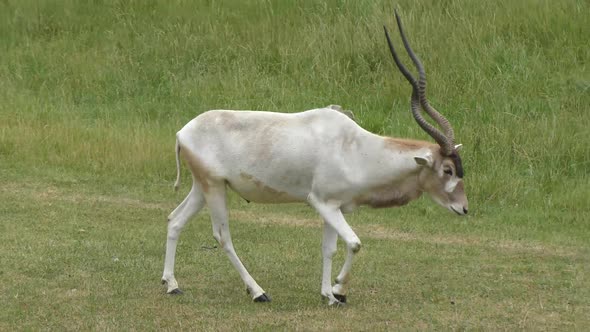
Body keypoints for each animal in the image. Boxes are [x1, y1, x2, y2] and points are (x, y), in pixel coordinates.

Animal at [161, 11, 468, 306]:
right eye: (448, 170)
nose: (464, 208)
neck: (356, 148)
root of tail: (182, 132)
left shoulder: (335, 206)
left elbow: (329, 248)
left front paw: (329, 295)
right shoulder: (322, 203)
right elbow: (354, 243)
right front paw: (339, 290)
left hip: (204, 187)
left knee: (175, 219)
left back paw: (172, 285)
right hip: (213, 187)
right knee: (222, 236)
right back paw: (258, 292)